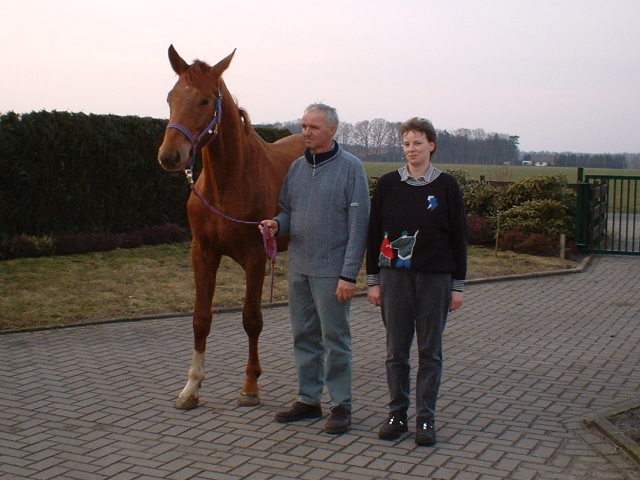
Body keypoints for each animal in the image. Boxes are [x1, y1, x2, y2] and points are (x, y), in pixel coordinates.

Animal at [156, 46, 304, 408]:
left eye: (205, 100)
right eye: (170, 97)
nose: (170, 156)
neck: (228, 183)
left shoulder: (255, 256)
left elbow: (251, 319)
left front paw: (250, 387)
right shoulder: (203, 252)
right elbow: (200, 318)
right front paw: (191, 387)